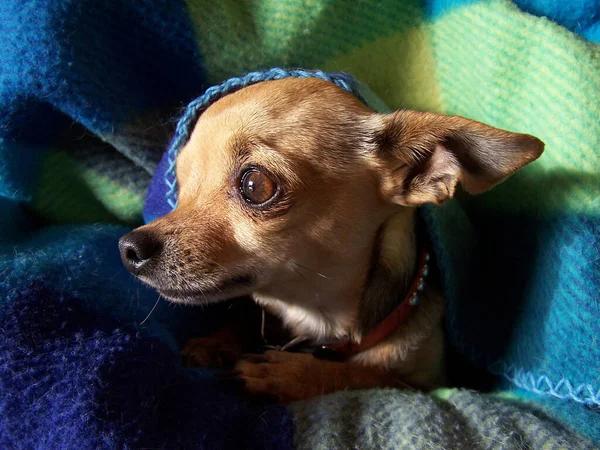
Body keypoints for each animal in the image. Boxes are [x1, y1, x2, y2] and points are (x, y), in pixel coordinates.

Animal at [118, 75, 544, 402]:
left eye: (255, 185)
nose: (128, 248)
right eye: (180, 185)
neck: (316, 317)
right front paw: (216, 340)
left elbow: (370, 376)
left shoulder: (428, 383)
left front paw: (291, 374)